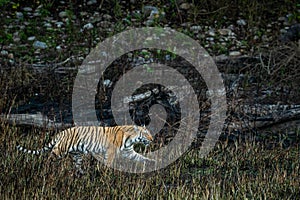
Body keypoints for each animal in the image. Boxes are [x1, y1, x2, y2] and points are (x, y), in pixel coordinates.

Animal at [17, 125, 155, 173]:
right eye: (146, 133)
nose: (152, 139)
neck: (131, 139)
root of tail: (62, 132)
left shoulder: (129, 152)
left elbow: (141, 157)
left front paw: (152, 162)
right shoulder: (110, 152)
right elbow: (109, 162)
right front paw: (107, 173)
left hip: (76, 154)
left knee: (77, 165)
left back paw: (82, 174)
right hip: (60, 150)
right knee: (49, 158)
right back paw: (45, 171)